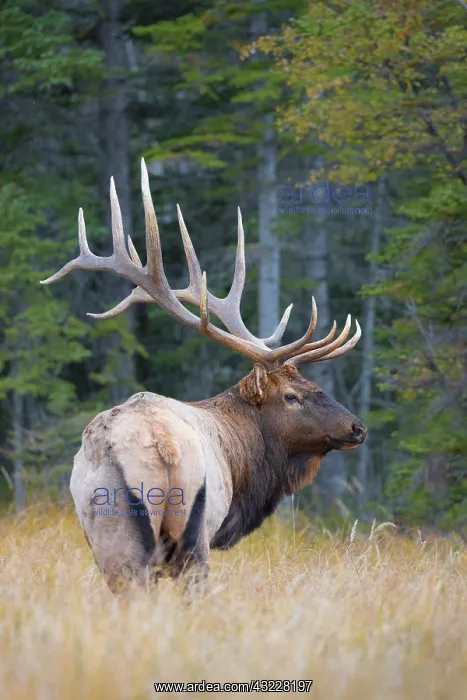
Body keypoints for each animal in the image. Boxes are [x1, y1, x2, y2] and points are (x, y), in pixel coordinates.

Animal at [41, 159, 366, 592]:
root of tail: (160, 446)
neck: (243, 464)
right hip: (191, 529)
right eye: (291, 396)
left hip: (111, 529)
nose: (356, 428)